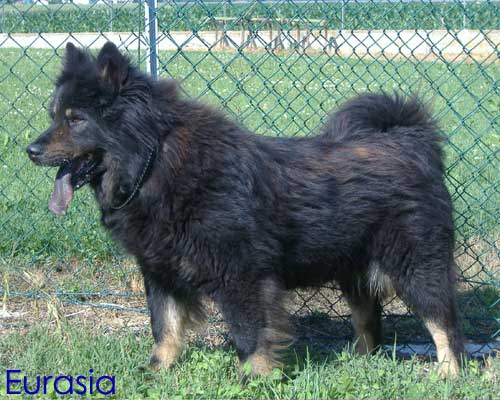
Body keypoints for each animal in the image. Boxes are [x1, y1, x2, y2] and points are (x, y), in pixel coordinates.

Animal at [27, 42, 464, 377]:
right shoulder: (160, 270)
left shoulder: (242, 275)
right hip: (351, 268)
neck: (154, 161)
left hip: (415, 265)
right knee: (369, 320)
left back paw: (447, 373)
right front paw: (155, 371)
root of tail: (411, 143)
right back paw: (356, 360)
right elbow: (164, 328)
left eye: (76, 120)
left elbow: (251, 334)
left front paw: (254, 378)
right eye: (55, 116)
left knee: (443, 322)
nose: (30, 150)